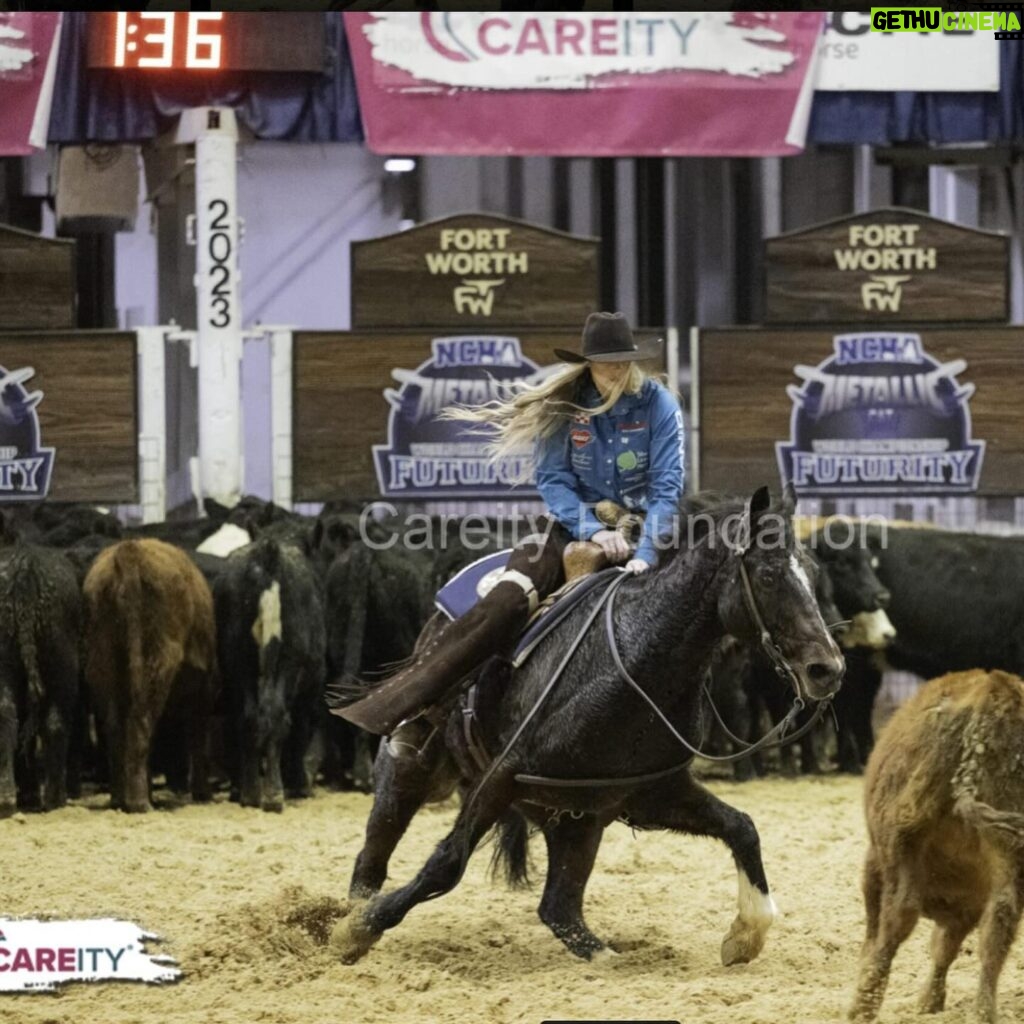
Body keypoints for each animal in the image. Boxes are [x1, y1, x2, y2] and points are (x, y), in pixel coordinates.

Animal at [84, 540, 218, 811]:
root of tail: (129, 550)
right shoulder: (203, 687)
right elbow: (199, 732)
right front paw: (203, 794)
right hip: (158, 656)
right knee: (141, 719)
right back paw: (140, 802)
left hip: (102, 656)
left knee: (115, 724)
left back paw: (120, 798)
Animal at [331, 487, 843, 966]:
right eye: (769, 575)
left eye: (813, 573)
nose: (827, 669)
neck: (634, 662)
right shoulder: (505, 773)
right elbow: (446, 862)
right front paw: (357, 931)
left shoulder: (651, 790)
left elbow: (742, 828)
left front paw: (745, 934)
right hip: (414, 768)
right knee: (372, 858)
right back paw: (349, 913)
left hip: (577, 817)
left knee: (560, 908)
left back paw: (606, 956)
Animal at [847, 667, 1024, 1019]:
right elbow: (947, 947)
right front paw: (931, 1000)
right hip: (1008, 855)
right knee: (998, 928)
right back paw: (983, 1013)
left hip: (903, 842)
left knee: (897, 917)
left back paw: (863, 1006)